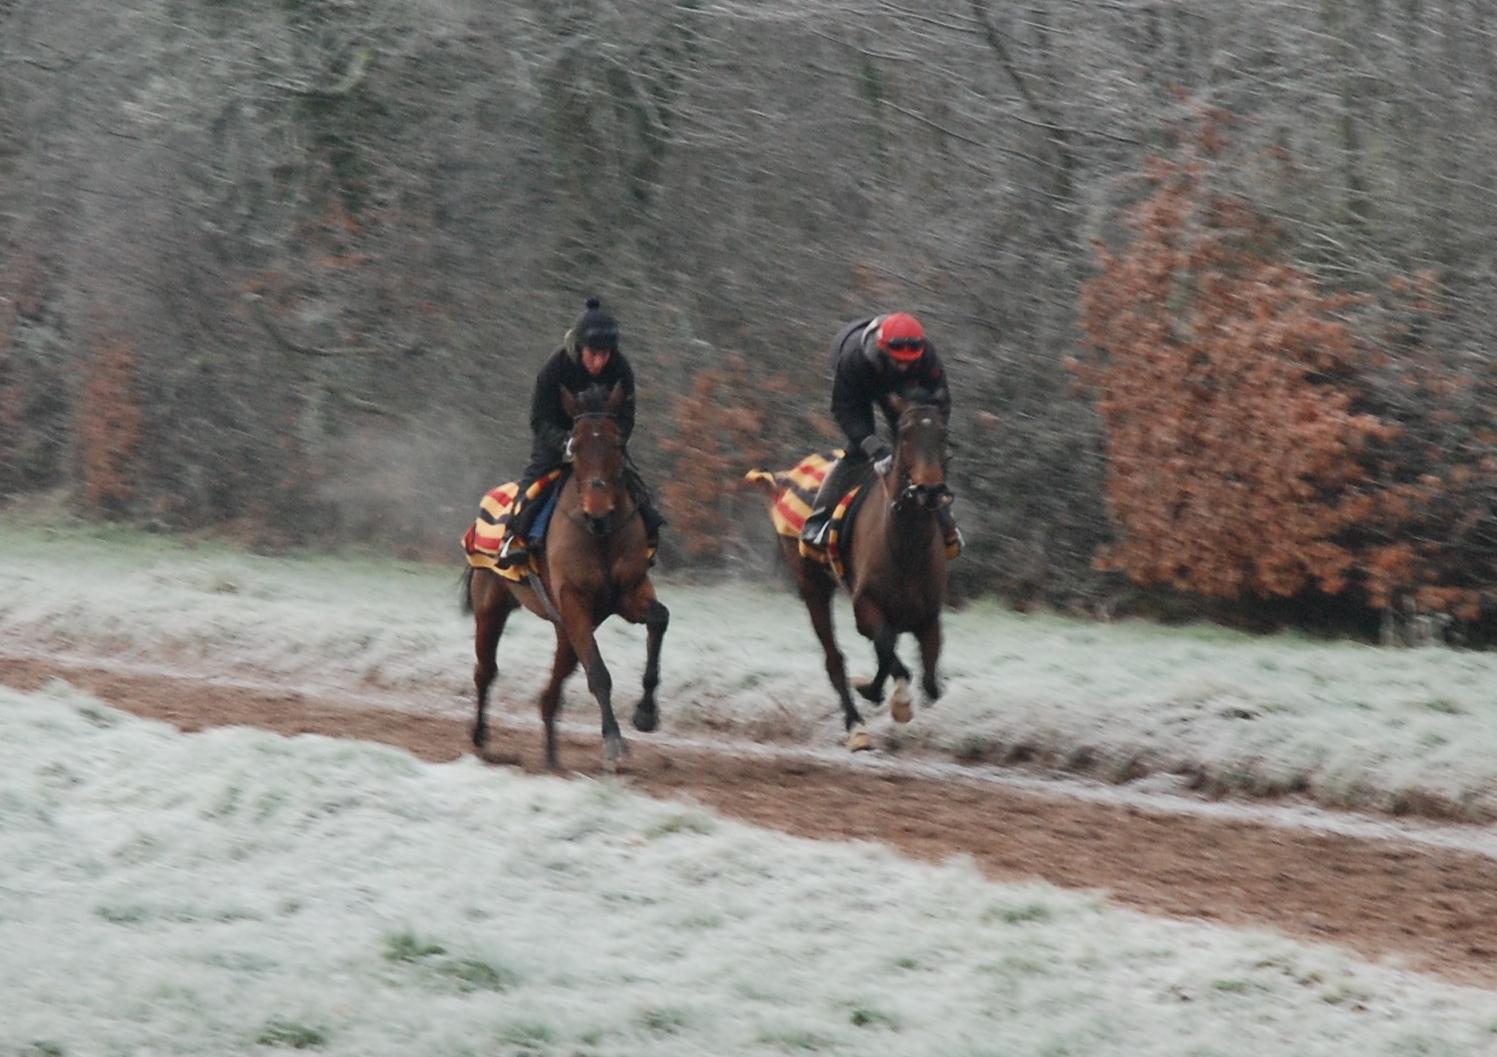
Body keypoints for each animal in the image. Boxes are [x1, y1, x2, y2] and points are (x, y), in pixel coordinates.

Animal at [455, 383, 667, 772]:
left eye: (617, 443)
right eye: (575, 445)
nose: (598, 511)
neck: (600, 535)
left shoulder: (628, 593)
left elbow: (659, 618)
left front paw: (645, 713)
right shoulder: (574, 602)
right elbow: (598, 672)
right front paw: (613, 742)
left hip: (564, 628)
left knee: (551, 690)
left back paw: (552, 756)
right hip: (492, 606)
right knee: (485, 670)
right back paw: (479, 738)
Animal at [754, 395, 952, 748]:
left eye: (943, 435)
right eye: (905, 435)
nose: (929, 491)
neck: (906, 546)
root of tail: (784, 479)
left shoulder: (929, 615)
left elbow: (930, 680)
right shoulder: (866, 606)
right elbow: (887, 646)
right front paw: (887, 697)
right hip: (812, 585)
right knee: (834, 658)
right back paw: (855, 726)